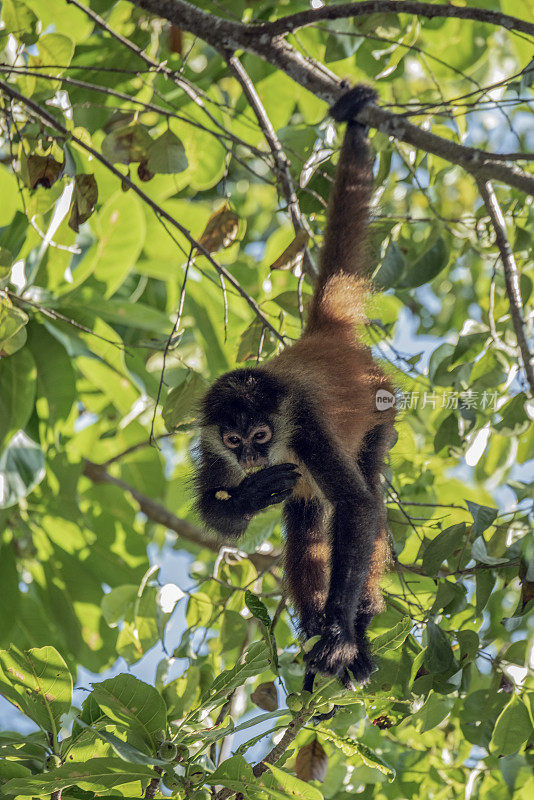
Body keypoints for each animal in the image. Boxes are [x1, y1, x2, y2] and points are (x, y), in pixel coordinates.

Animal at [195, 84, 396, 692]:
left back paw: (354, 625)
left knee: (366, 492)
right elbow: (213, 511)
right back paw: (313, 625)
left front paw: (339, 638)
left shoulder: (303, 425)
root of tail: (323, 336)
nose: (253, 458)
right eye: (234, 441)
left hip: (382, 412)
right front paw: (248, 495)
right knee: (305, 519)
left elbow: (357, 505)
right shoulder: (211, 442)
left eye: (261, 434)